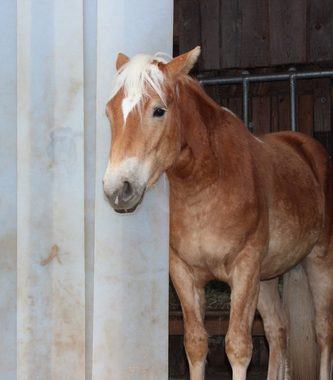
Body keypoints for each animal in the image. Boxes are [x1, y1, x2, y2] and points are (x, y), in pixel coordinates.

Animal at [102, 47, 330, 380]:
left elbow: (238, 347)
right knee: (277, 330)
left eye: (159, 110)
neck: (206, 184)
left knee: (323, 330)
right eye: (110, 112)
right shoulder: (183, 272)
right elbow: (196, 344)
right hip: (268, 278)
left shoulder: (244, 269)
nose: (117, 188)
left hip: (319, 262)